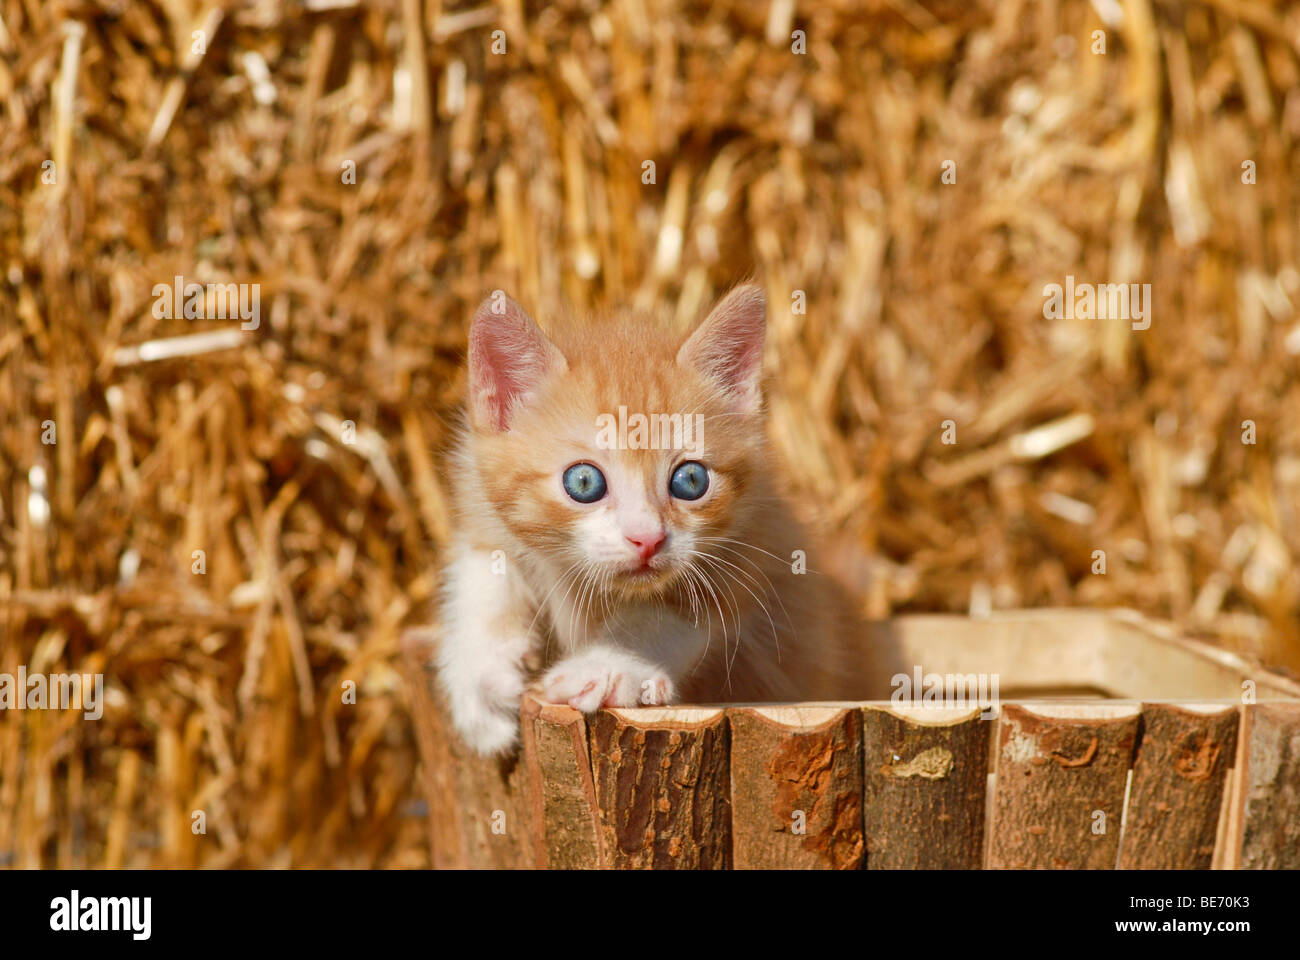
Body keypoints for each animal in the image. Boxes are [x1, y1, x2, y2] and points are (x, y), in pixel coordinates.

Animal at [436, 283, 863, 754]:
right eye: (583, 481)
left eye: (690, 480)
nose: (647, 539)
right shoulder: (482, 502)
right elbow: (484, 571)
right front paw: (479, 678)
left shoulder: (759, 541)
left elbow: (672, 616)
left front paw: (610, 665)